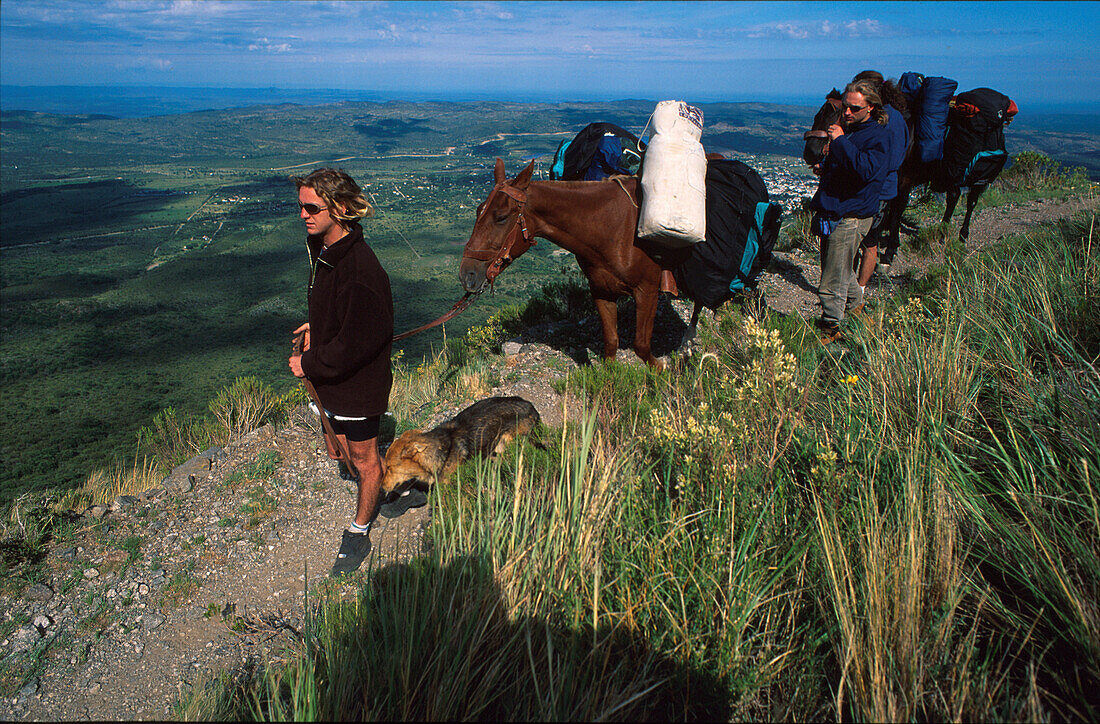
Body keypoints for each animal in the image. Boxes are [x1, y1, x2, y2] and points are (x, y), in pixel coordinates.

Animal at [457, 157, 699, 367]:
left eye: (501, 217)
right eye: (478, 210)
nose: (467, 275)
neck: (613, 228)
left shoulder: (647, 291)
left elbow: (641, 345)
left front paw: (662, 372)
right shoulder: (602, 292)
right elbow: (611, 344)